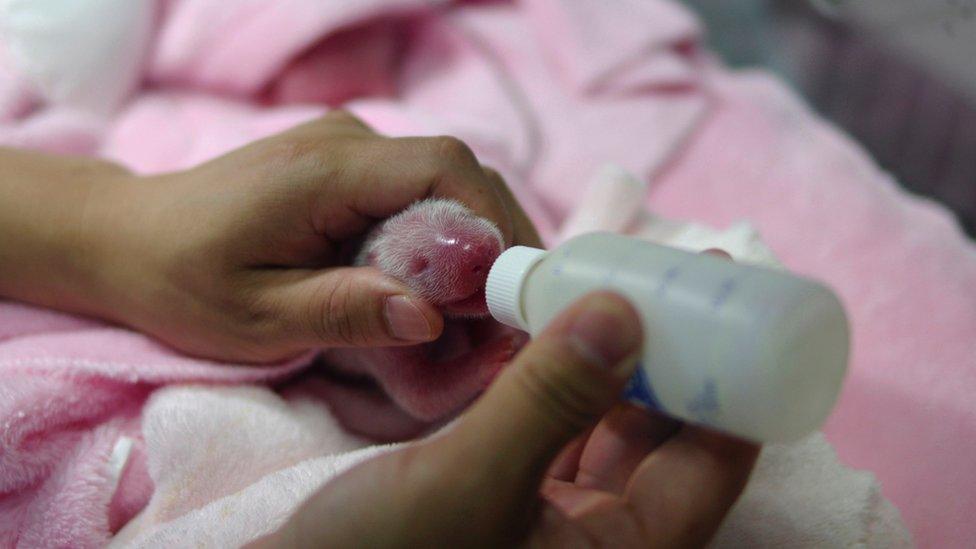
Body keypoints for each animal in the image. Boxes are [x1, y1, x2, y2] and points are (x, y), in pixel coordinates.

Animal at [318, 197, 528, 436]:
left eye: (466, 215)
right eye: (420, 264)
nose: (476, 253)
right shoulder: (377, 345)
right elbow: (420, 395)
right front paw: (495, 354)